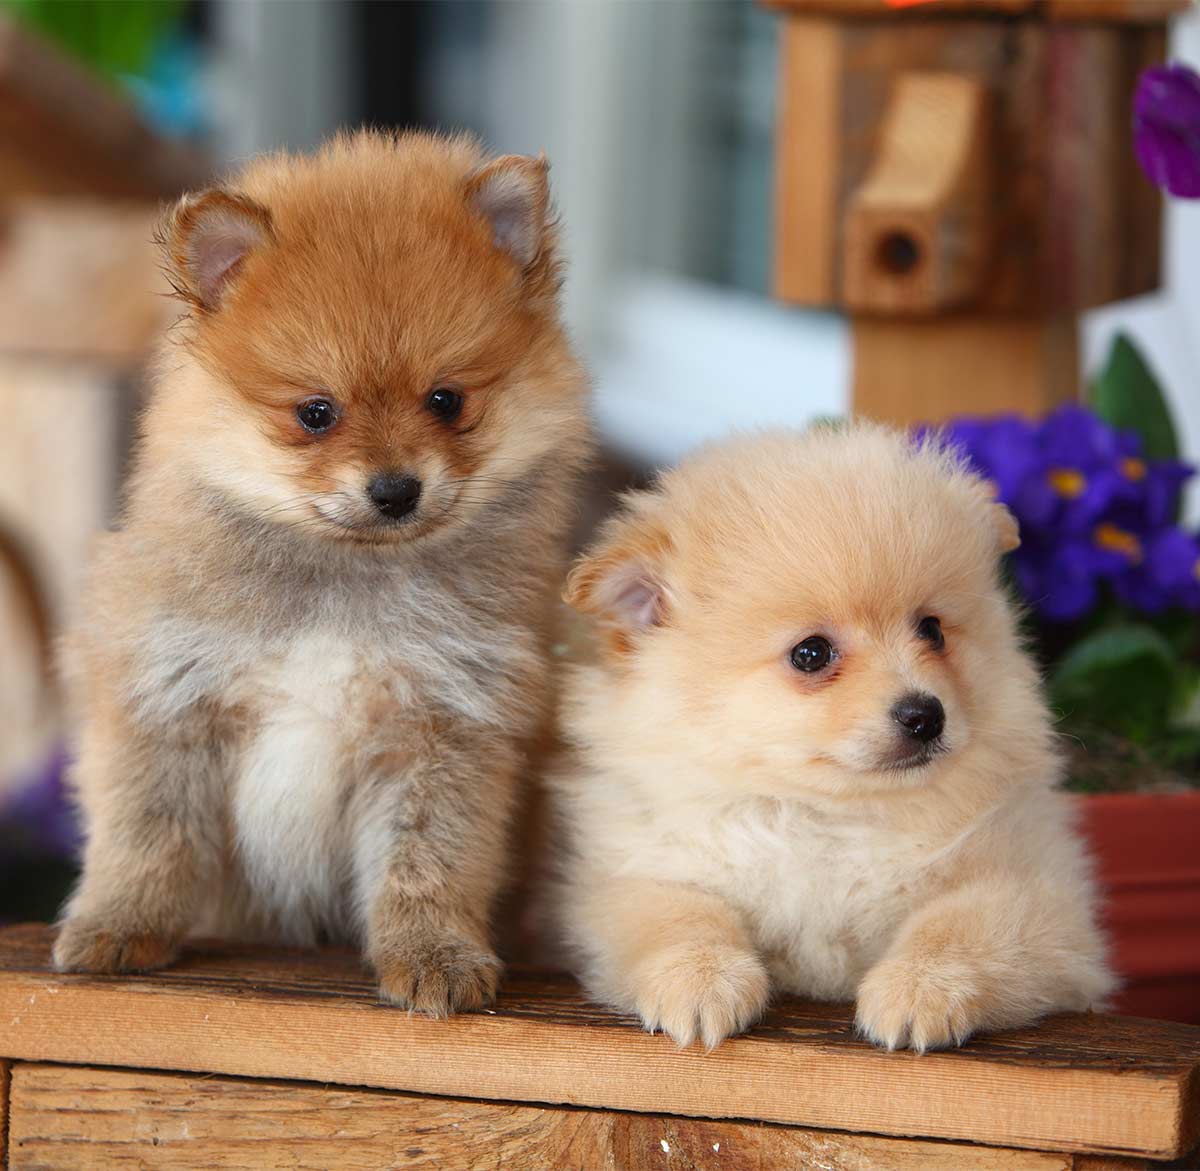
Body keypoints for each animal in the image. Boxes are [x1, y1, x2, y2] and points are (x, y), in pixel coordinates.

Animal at [56, 130, 590, 1017]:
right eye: (316, 413)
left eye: (447, 401)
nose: (396, 488)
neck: (345, 584)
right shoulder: (164, 693)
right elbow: (147, 832)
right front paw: (119, 924)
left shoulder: (443, 725)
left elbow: (428, 859)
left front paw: (434, 954)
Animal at [552, 424, 1113, 1055]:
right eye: (811, 654)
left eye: (933, 630)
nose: (925, 714)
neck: (828, 818)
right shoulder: (633, 872)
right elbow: (677, 915)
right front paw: (700, 981)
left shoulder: (1037, 891)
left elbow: (957, 926)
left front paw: (919, 989)